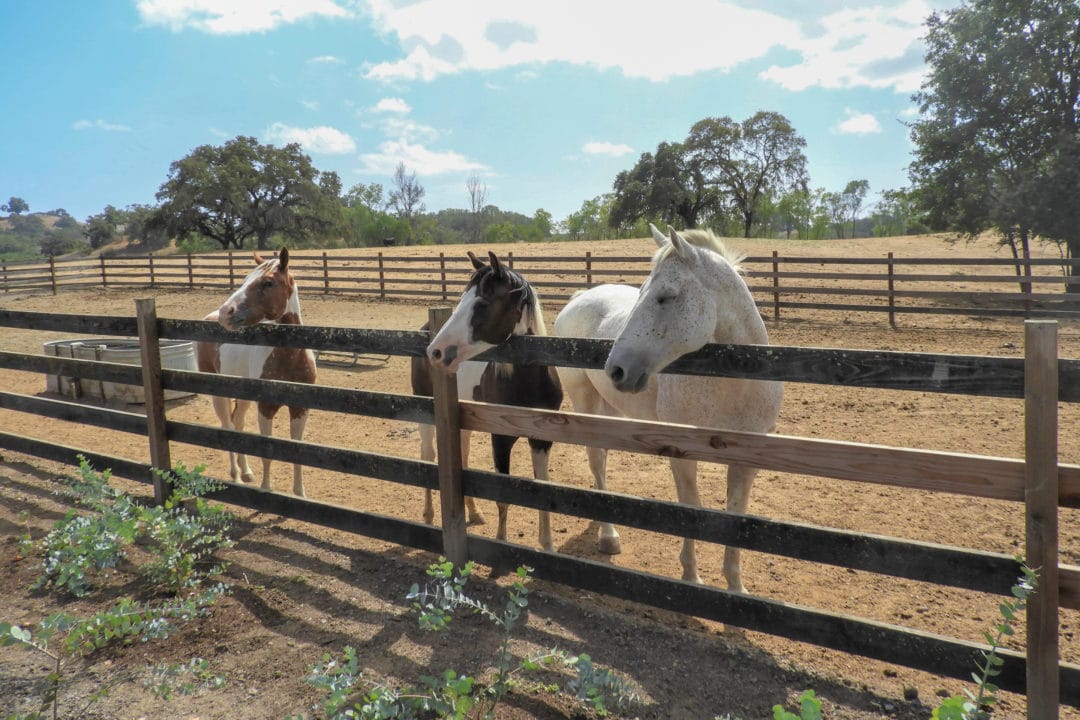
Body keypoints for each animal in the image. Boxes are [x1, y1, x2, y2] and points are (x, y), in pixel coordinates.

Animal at [195, 247, 317, 496]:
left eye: (268, 282)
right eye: (245, 279)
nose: (226, 312)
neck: (289, 357)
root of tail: (208, 318)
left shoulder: (300, 408)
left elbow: (298, 453)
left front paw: (300, 494)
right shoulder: (266, 407)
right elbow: (267, 452)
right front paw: (266, 489)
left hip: (243, 397)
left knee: (238, 422)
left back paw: (246, 472)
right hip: (218, 394)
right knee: (228, 426)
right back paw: (236, 476)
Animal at [410, 250, 563, 550]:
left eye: (482, 303)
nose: (436, 352)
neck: (526, 384)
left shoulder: (542, 439)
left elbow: (543, 490)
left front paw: (548, 547)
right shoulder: (500, 439)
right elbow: (503, 497)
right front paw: (501, 542)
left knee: (463, 457)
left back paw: (474, 513)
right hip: (424, 411)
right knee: (427, 456)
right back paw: (428, 515)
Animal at [553, 224, 782, 592]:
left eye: (666, 296)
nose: (616, 369)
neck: (735, 385)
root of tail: (578, 298)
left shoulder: (747, 460)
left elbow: (735, 514)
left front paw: (736, 588)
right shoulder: (681, 454)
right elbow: (690, 507)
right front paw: (691, 576)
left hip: (612, 409)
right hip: (584, 401)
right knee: (596, 459)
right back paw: (608, 535)